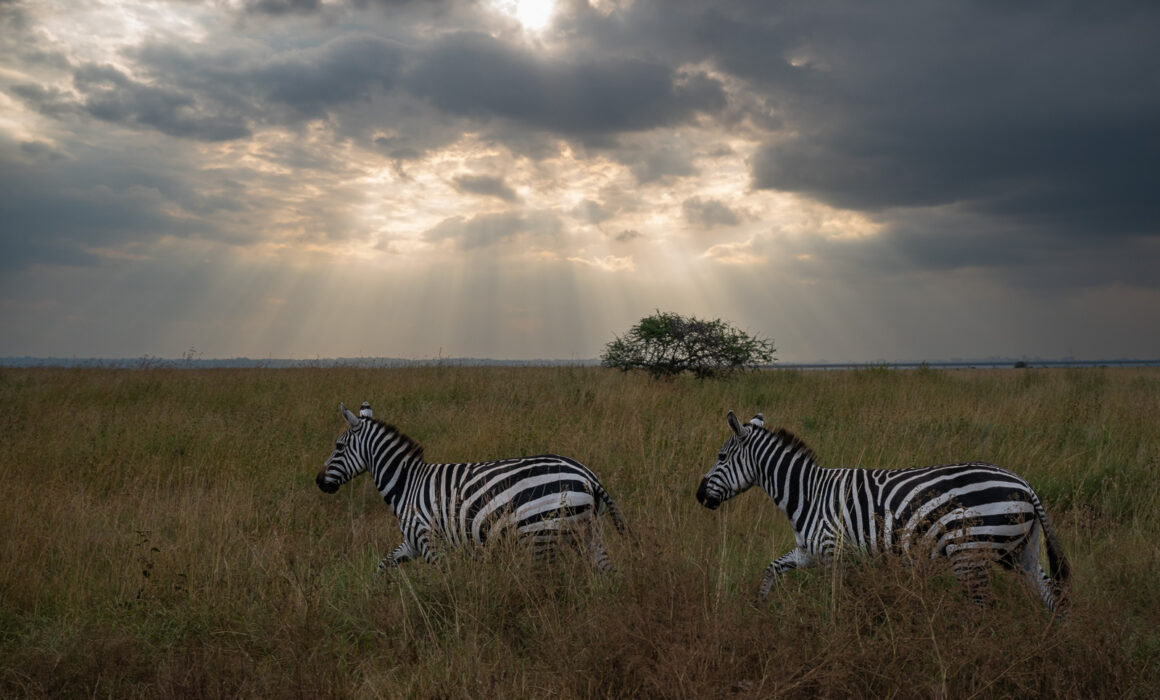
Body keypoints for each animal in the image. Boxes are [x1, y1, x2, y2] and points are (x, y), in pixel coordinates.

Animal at [315, 402, 629, 572]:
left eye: (339, 447)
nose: (318, 481)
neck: (407, 484)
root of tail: (589, 475)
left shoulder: (429, 540)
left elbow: (445, 582)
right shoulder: (411, 542)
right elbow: (382, 566)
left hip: (540, 535)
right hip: (588, 532)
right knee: (606, 574)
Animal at [696, 411, 1069, 612]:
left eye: (720, 457)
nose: (699, 496)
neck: (808, 494)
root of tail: (1025, 485)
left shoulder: (834, 552)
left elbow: (838, 601)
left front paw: (835, 635)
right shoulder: (809, 552)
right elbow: (771, 569)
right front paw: (758, 608)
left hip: (970, 552)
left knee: (982, 607)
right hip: (1019, 551)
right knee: (1052, 595)